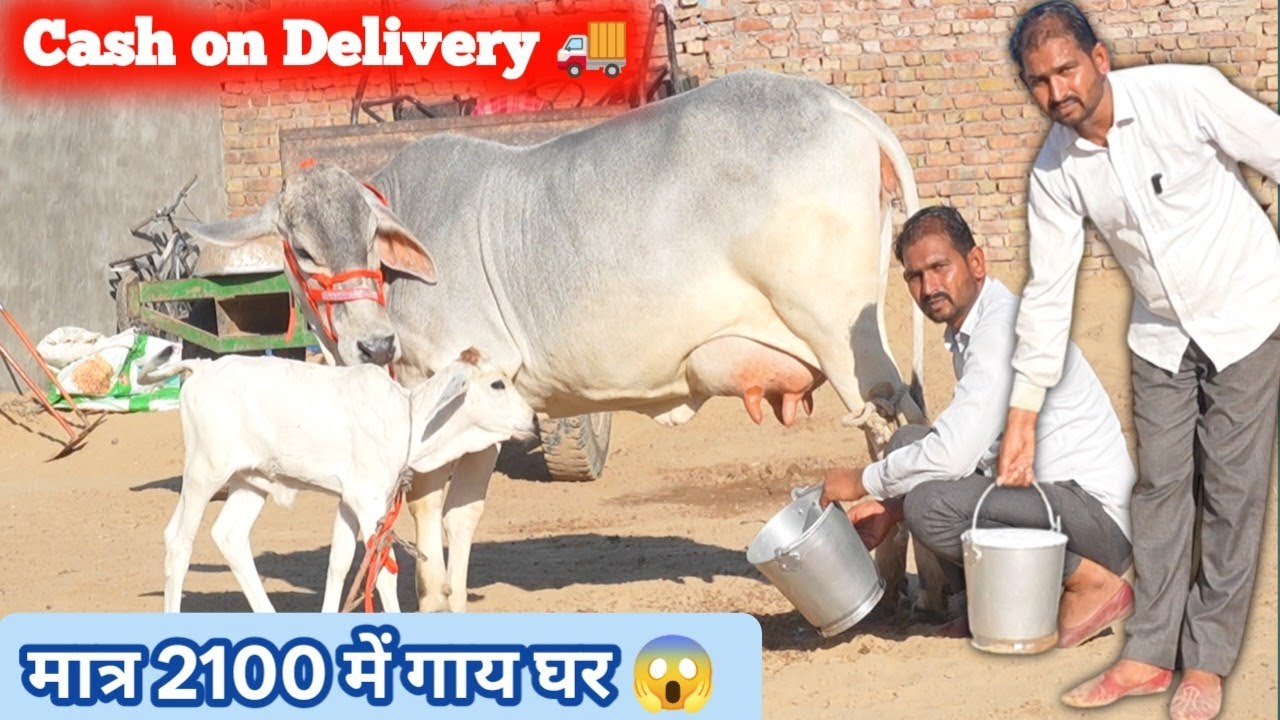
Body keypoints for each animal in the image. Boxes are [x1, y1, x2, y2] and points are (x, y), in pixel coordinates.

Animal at [189, 70, 934, 615]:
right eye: (304, 250)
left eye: (370, 239)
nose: (375, 345)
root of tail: (845, 110)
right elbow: (463, 516)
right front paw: (451, 601)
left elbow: (428, 505)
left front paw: (431, 600)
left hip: (841, 337)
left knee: (892, 431)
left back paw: (894, 584)